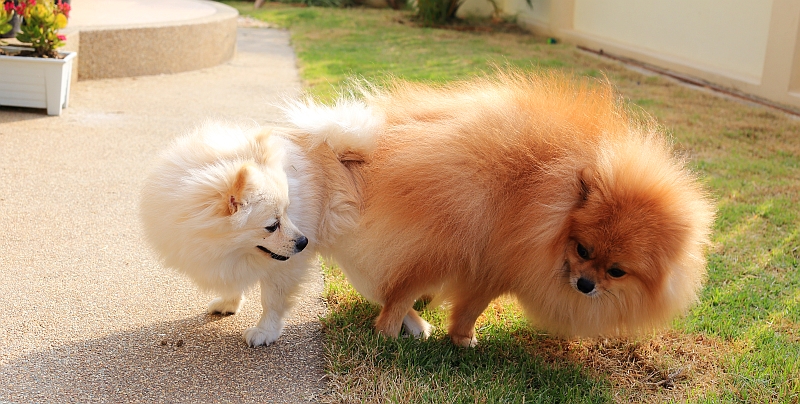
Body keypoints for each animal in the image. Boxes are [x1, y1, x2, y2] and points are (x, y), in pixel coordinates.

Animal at [286, 71, 712, 346]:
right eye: (582, 249)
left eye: (617, 271)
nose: (585, 285)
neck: (553, 208)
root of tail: (357, 157)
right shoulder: (496, 263)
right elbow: (471, 307)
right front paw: (463, 340)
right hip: (443, 246)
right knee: (397, 295)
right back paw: (394, 335)